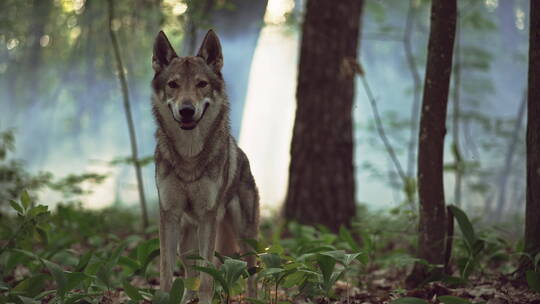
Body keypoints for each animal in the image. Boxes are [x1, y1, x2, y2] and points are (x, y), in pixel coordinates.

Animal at [151, 29, 260, 304]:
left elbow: (208, 276)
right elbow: (166, 272)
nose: (187, 110)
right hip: (187, 238)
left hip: (244, 236)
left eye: (202, 84)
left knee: (252, 273)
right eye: (173, 85)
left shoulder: (208, 216)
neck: (189, 156)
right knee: (190, 273)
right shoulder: (169, 215)